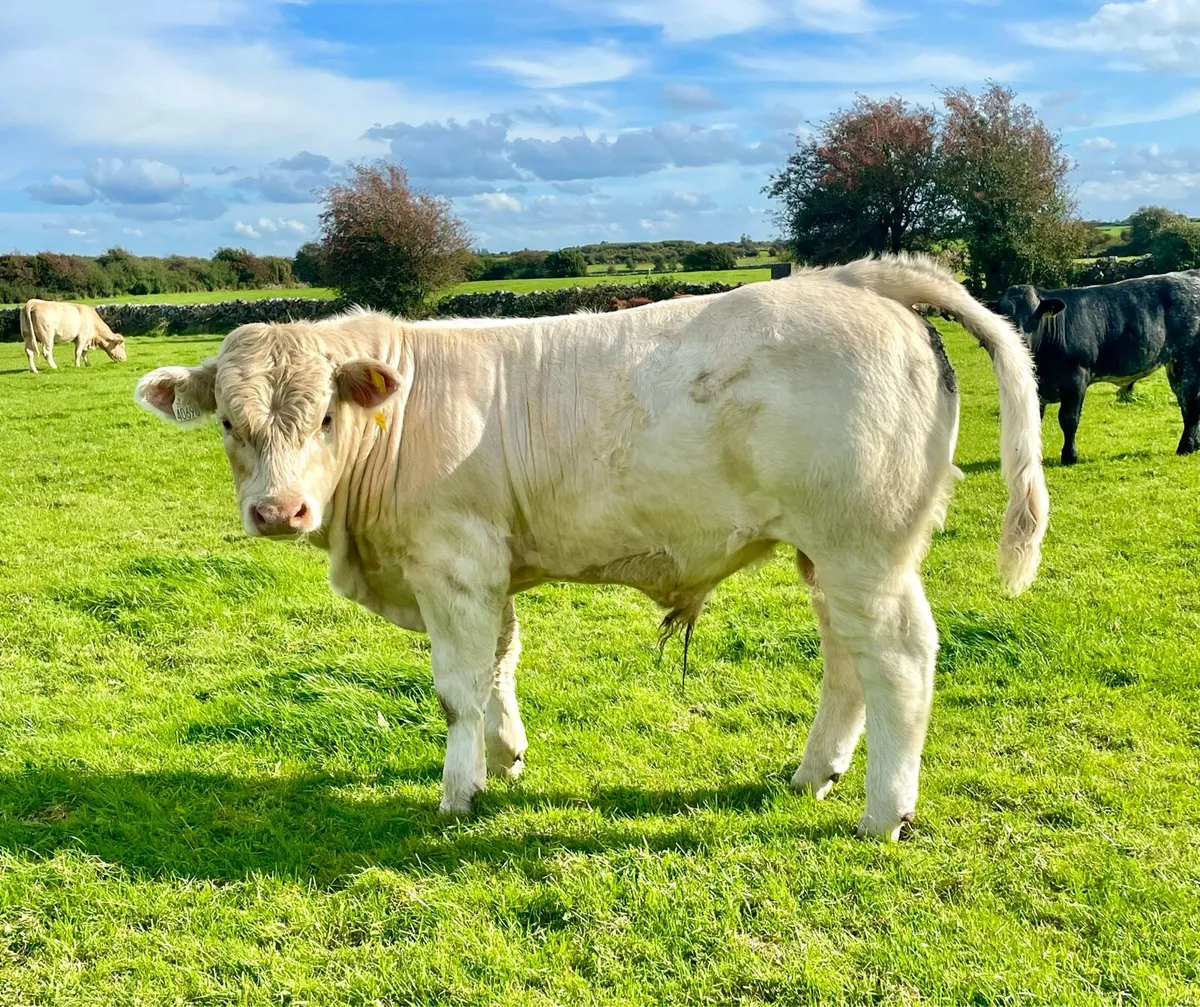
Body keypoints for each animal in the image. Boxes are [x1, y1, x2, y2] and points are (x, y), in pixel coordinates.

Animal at [135, 254, 1048, 840]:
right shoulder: (491, 568)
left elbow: (457, 688)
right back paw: (814, 771)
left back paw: (884, 810)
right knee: (846, 660)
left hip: (867, 548)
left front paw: (457, 790)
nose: (278, 510)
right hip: (829, 554)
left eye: (326, 414)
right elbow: (500, 664)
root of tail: (854, 278)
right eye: (229, 422)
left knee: (900, 660)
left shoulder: (454, 564)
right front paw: (505, 758)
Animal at [996, 273, 1200, 464]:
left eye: (1035, 315)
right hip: (1175, 366)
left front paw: (1069, 456)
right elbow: (1034, 419)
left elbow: (1069, 419)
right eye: (1004, 317)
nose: (1019, 342)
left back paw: (1185, 447)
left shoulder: (1076, 379)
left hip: (1189, 361)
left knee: (1191, 405)